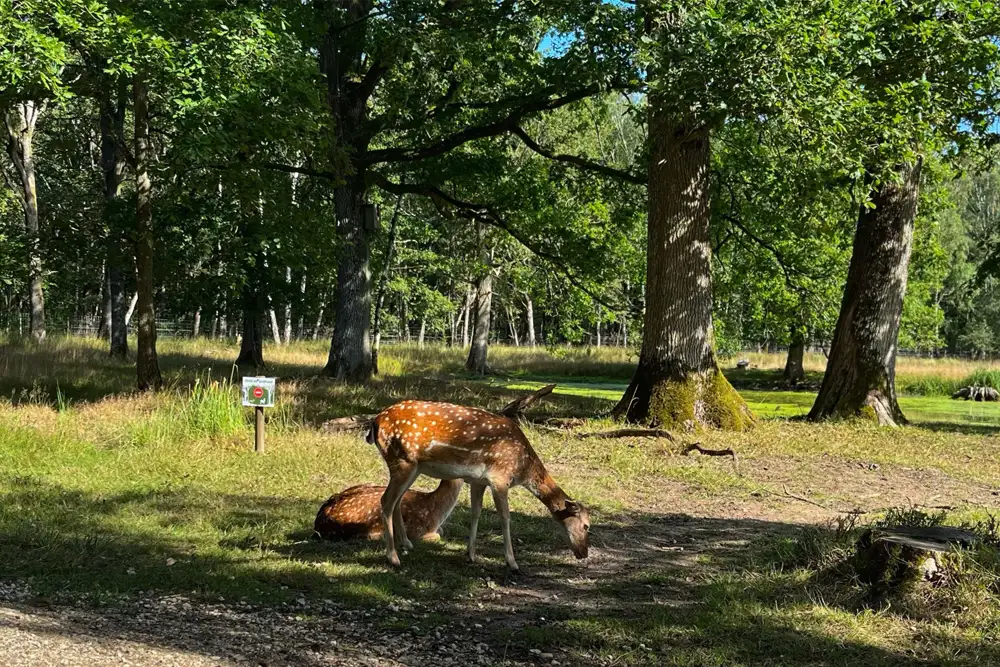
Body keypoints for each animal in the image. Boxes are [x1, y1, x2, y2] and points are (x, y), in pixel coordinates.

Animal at [366, 400, 590, 572]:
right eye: (586, 526)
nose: (584, 553)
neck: (522, 466)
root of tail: (376, 422)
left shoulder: (478, 481)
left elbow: (476, 512)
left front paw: (471, 554)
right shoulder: (499, 477)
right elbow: (505, 517)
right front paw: (512, 563)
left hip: (412, 467)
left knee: (396, 501)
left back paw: (407, 544)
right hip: (402, 460)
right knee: (386, 501)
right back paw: (393, 558)